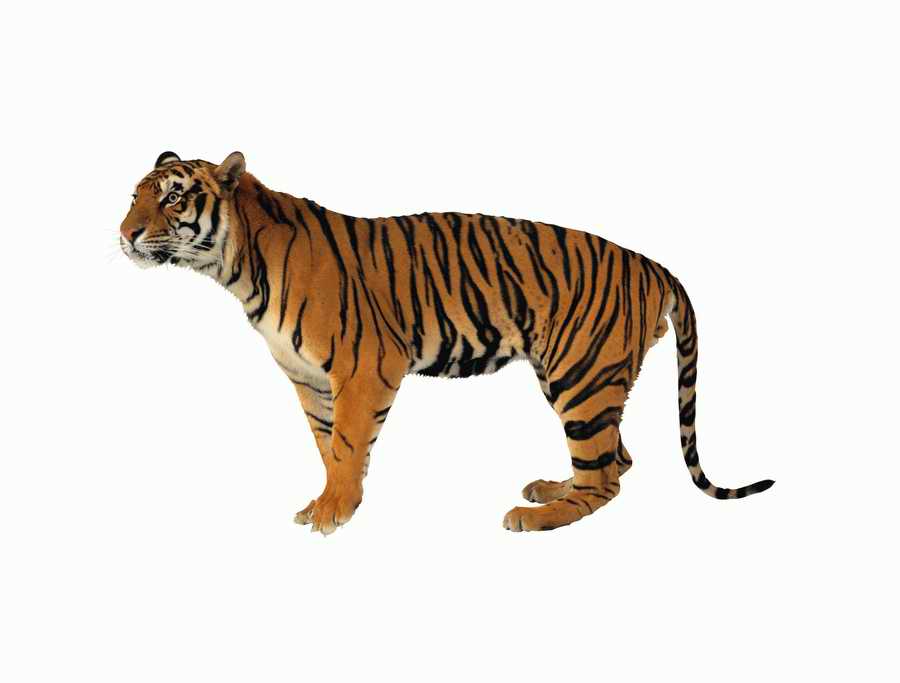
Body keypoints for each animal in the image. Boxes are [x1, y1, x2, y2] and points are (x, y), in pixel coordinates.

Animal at [119, 150, 774, 534]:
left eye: (173, 196)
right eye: (135, 196)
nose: (124, 234)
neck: (236, 267)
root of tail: (653, 263)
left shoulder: (364, 367)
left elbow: (348, 444)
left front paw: (335, 511)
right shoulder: (309, 380)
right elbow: (327, 445)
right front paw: (328, 501)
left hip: (581, 376)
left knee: (605, 478)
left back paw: (536, 515)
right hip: (581, 377)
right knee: (617, 458)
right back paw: (549, 488)